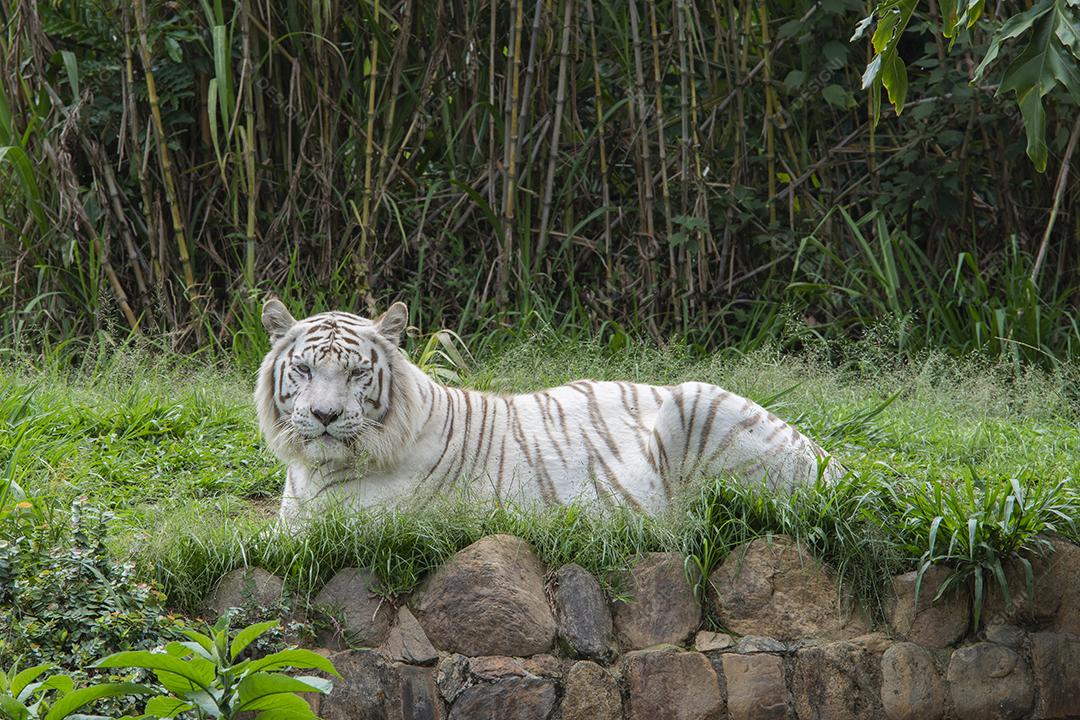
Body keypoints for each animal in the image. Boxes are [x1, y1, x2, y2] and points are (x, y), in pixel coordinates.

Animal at [255, 299, 843, 528]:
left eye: (357, 374)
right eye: (303, 370)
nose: (325, 416)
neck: (314, 469)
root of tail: (830, 459)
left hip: (695, 400)